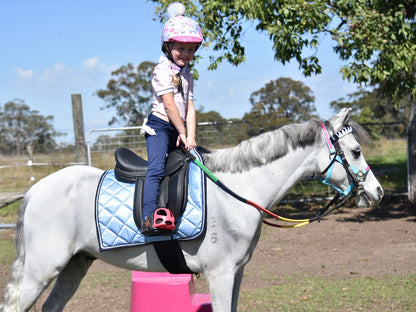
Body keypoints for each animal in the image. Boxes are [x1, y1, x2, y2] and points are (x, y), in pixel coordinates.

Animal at [0, 108, 384, 310]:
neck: (236, 192)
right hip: (41, 270)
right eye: (354, 152)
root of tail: (35, 191)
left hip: (74, 266)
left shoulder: (236, 272)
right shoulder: (221, 273)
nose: (377, 192)